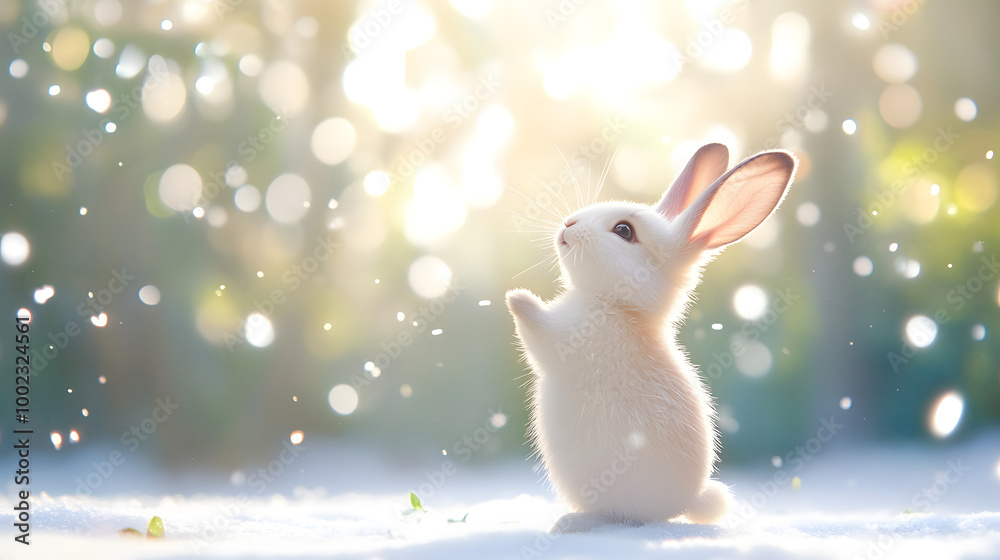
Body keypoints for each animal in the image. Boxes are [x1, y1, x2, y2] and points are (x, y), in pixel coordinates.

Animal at [506, 143, 797, 533]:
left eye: (624, 230)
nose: (569, 224)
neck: (621, 307)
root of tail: (688, 502)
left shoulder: (566, 339)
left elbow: (537, 331)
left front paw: (517, 297)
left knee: (623, 519)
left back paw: (571, 523)